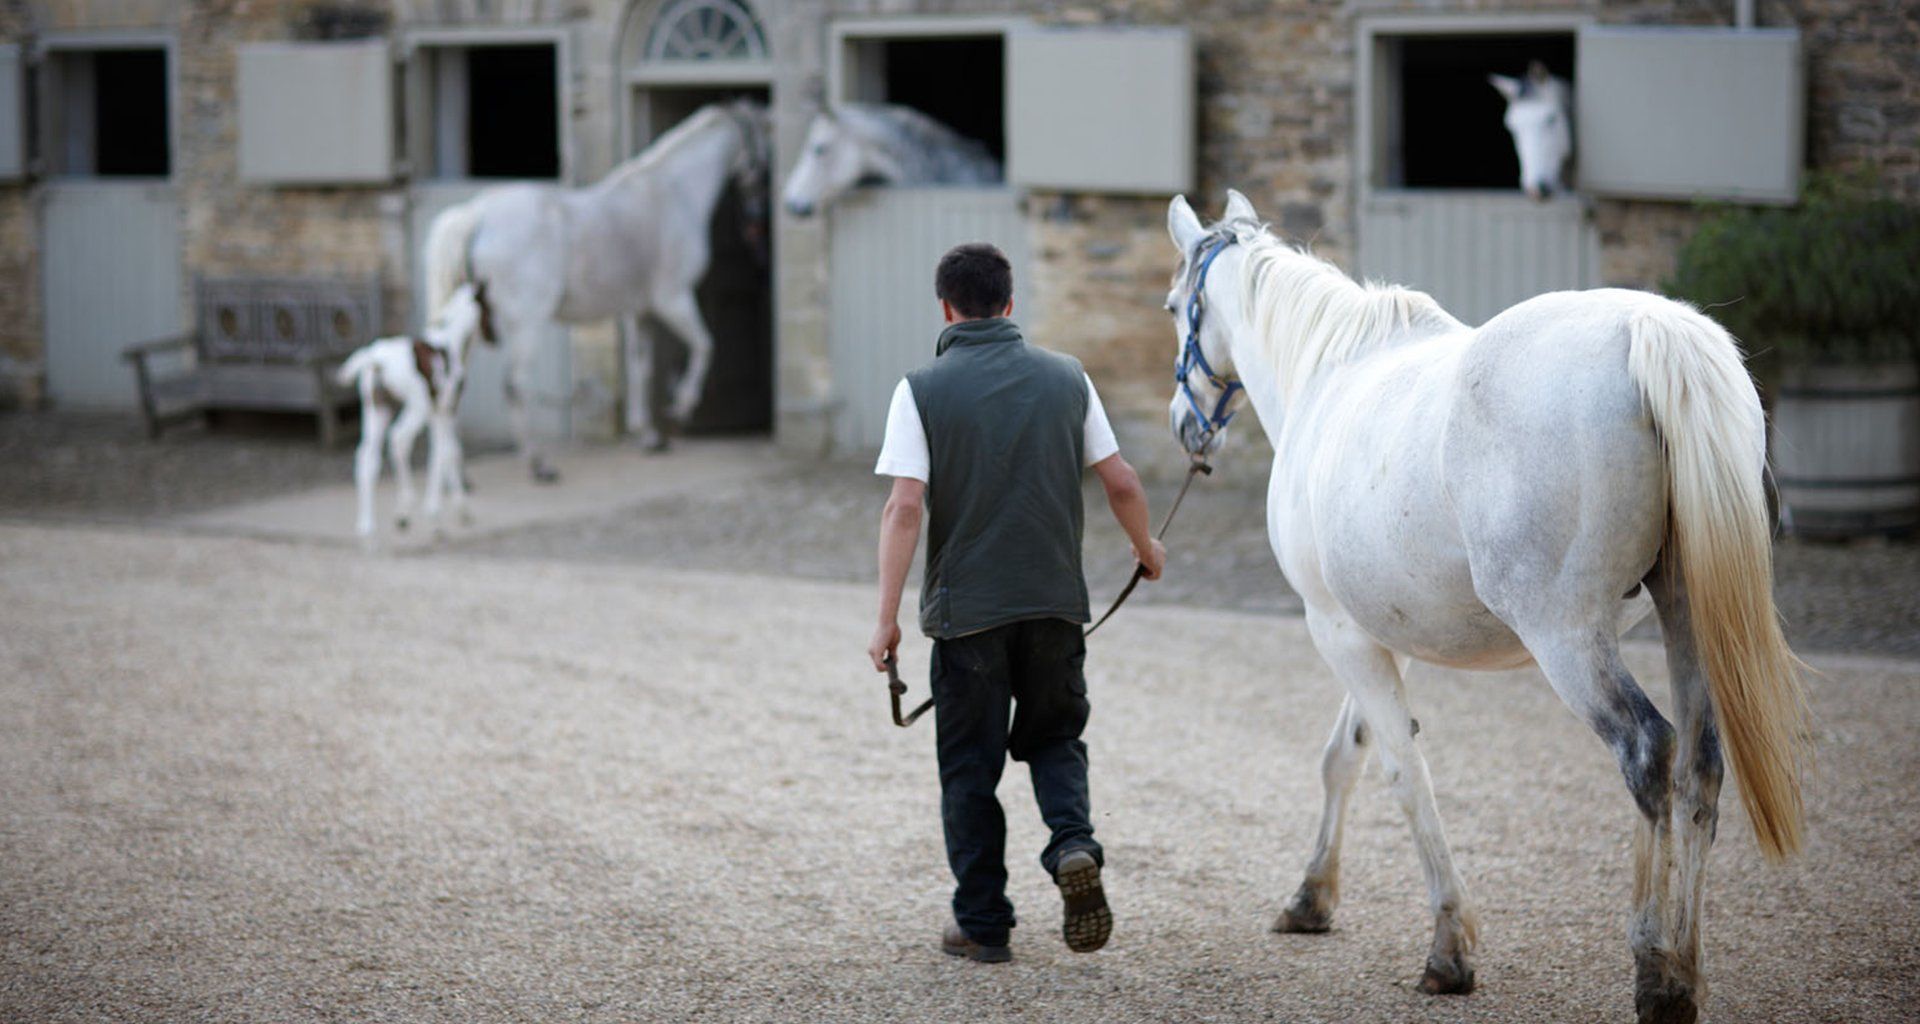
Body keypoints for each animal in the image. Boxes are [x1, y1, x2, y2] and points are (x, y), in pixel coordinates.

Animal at [335, 282, 491, 544]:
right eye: (490, 307)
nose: (494, 337)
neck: (451, 340)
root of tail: (374, 359)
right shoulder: (444, 409)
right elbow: (446, 453)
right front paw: (441, 513)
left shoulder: (441, 412)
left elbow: (450, 450)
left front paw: (459, 509)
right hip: (415, 406)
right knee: (399, 439)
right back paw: (407, 507)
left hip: (376, 408)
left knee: (367, 456)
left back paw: (367, 525)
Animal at [424, 99, 772, 476]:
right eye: (766, 142)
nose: (758, 217)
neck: (674, 193)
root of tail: (476, 215)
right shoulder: (673, 298)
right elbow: (705, 346)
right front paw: (681, 406)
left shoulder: (640, 310)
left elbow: (641, 368)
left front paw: (649, 436)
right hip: (527, 323)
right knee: (514, 385)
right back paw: (538, 463)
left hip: (468, 325)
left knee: (453, 382)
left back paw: (460, 471)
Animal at [1163, 190, 1806, 1024]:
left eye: (1174, 306)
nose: (1184, 424)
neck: (1329, 373)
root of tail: (1652, 331)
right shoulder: (1378, 633)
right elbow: (1347, 756)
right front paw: (1311, 899)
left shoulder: (1337, 630)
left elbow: (1405, 774)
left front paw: (1449, 949)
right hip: (1686, 616)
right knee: (1698, 768)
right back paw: (1684, 974)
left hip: (1567, 638)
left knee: (1648, 752)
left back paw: (1654, 971)